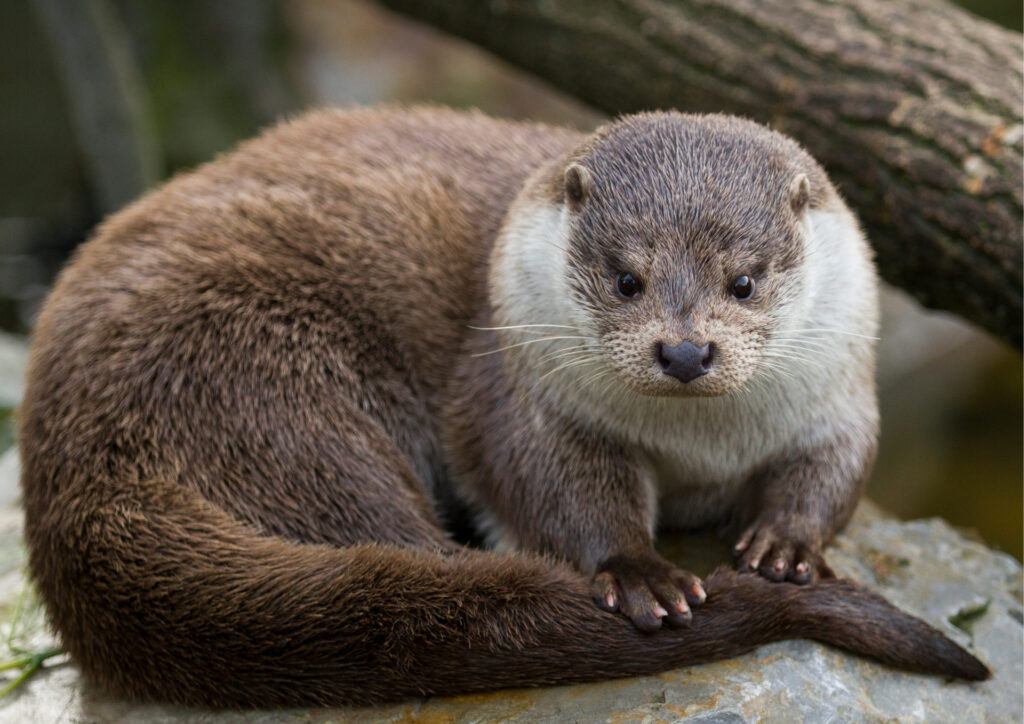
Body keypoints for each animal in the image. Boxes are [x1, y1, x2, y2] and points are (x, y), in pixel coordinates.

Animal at [18, 106, 987, 708]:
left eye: (743, 281)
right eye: (626, 278)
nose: (683, 350)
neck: (700, 450)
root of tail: (70, 465)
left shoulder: (840, 388)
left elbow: (835, 466)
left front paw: (786, 543)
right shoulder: (519, 393)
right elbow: (547, 484)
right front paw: (643, 575)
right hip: (270, 396)